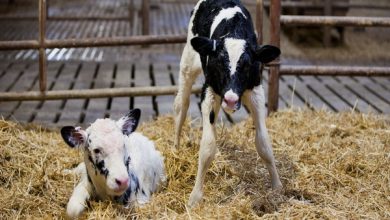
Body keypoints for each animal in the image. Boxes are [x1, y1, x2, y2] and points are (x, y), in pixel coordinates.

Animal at [174, 0, 284, 207]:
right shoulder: (208, 92)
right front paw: (195, 197)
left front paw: (277, 186)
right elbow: (208, 147)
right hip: (188, 64)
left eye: (247, 65)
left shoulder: (256, 93)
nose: (231, 99)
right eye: (218, 63)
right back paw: (175, 150)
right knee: (181, 106)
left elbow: (264, 144)